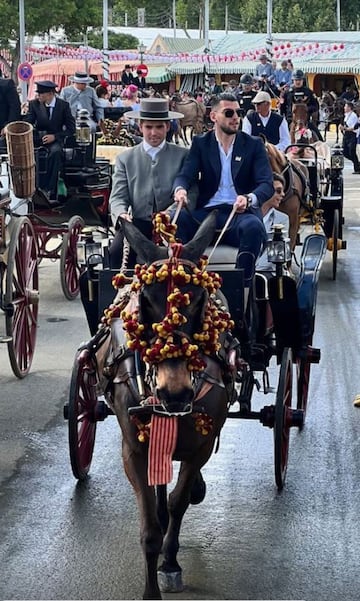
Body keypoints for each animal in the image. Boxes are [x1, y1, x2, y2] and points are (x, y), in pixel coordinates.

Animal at [105, 210, 233, 596]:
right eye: (145, 302)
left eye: (200, 301)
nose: (173, 393)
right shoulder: (133, 449)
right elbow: (148, 529)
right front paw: (152, 587)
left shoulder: (201, 446)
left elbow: (179, 501)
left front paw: (171, 561)